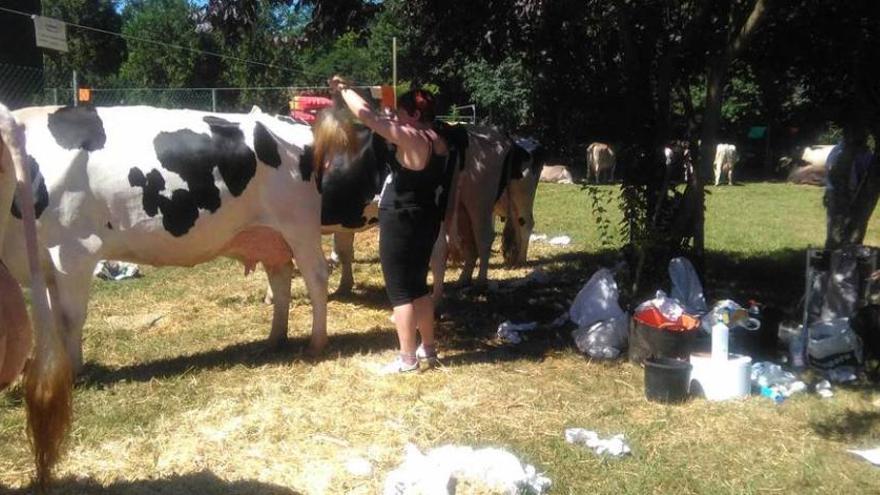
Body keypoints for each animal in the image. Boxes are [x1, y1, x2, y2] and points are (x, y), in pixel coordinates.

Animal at [0, 105, 330, 376]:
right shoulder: (46, 263)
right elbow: (52, 320)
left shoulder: (74, 252)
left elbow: (70, 318)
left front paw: (74, 373)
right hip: (270, 236)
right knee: (280, 278)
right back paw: (275, 339)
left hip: (299, 227)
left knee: (316, 276)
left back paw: (316, 342)